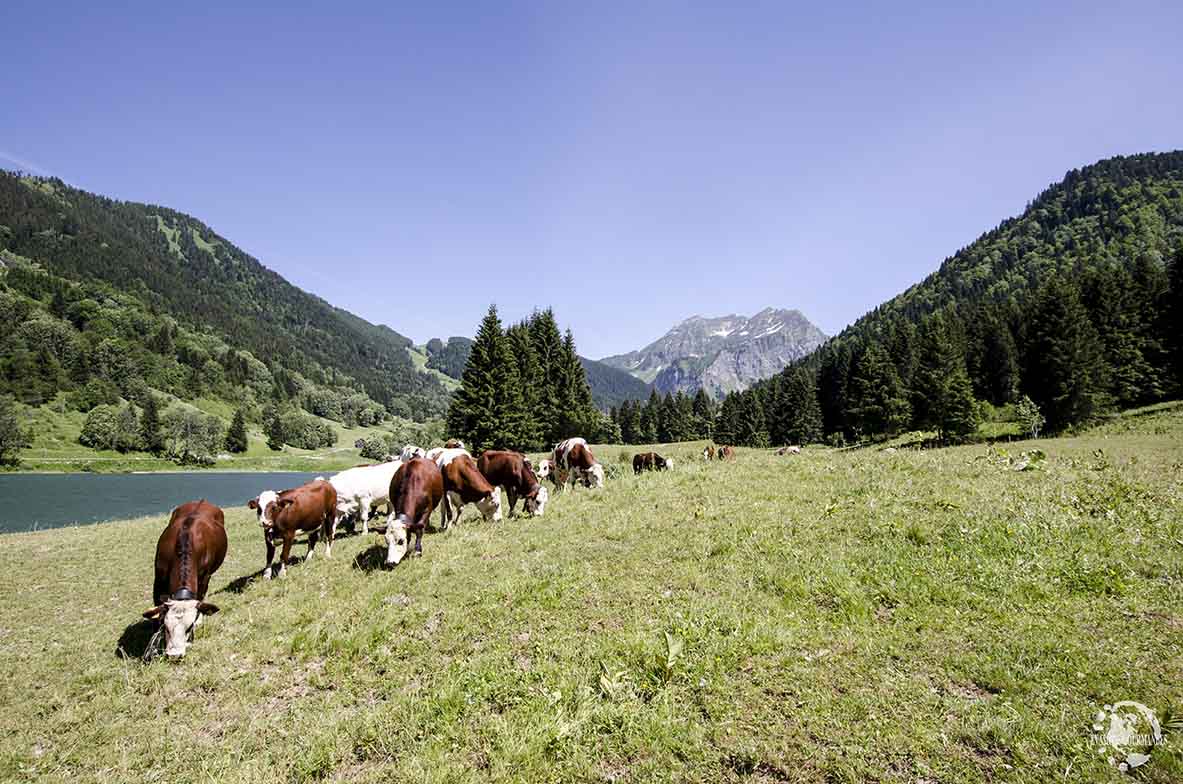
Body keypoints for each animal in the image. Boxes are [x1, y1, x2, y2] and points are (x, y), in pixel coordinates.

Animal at [141, 499, 227, 657]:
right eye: (166, 627)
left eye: (189, 627)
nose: (175, 655)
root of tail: (202, 501)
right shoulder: (158, 578)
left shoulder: (204, 576)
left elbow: (200, 596)